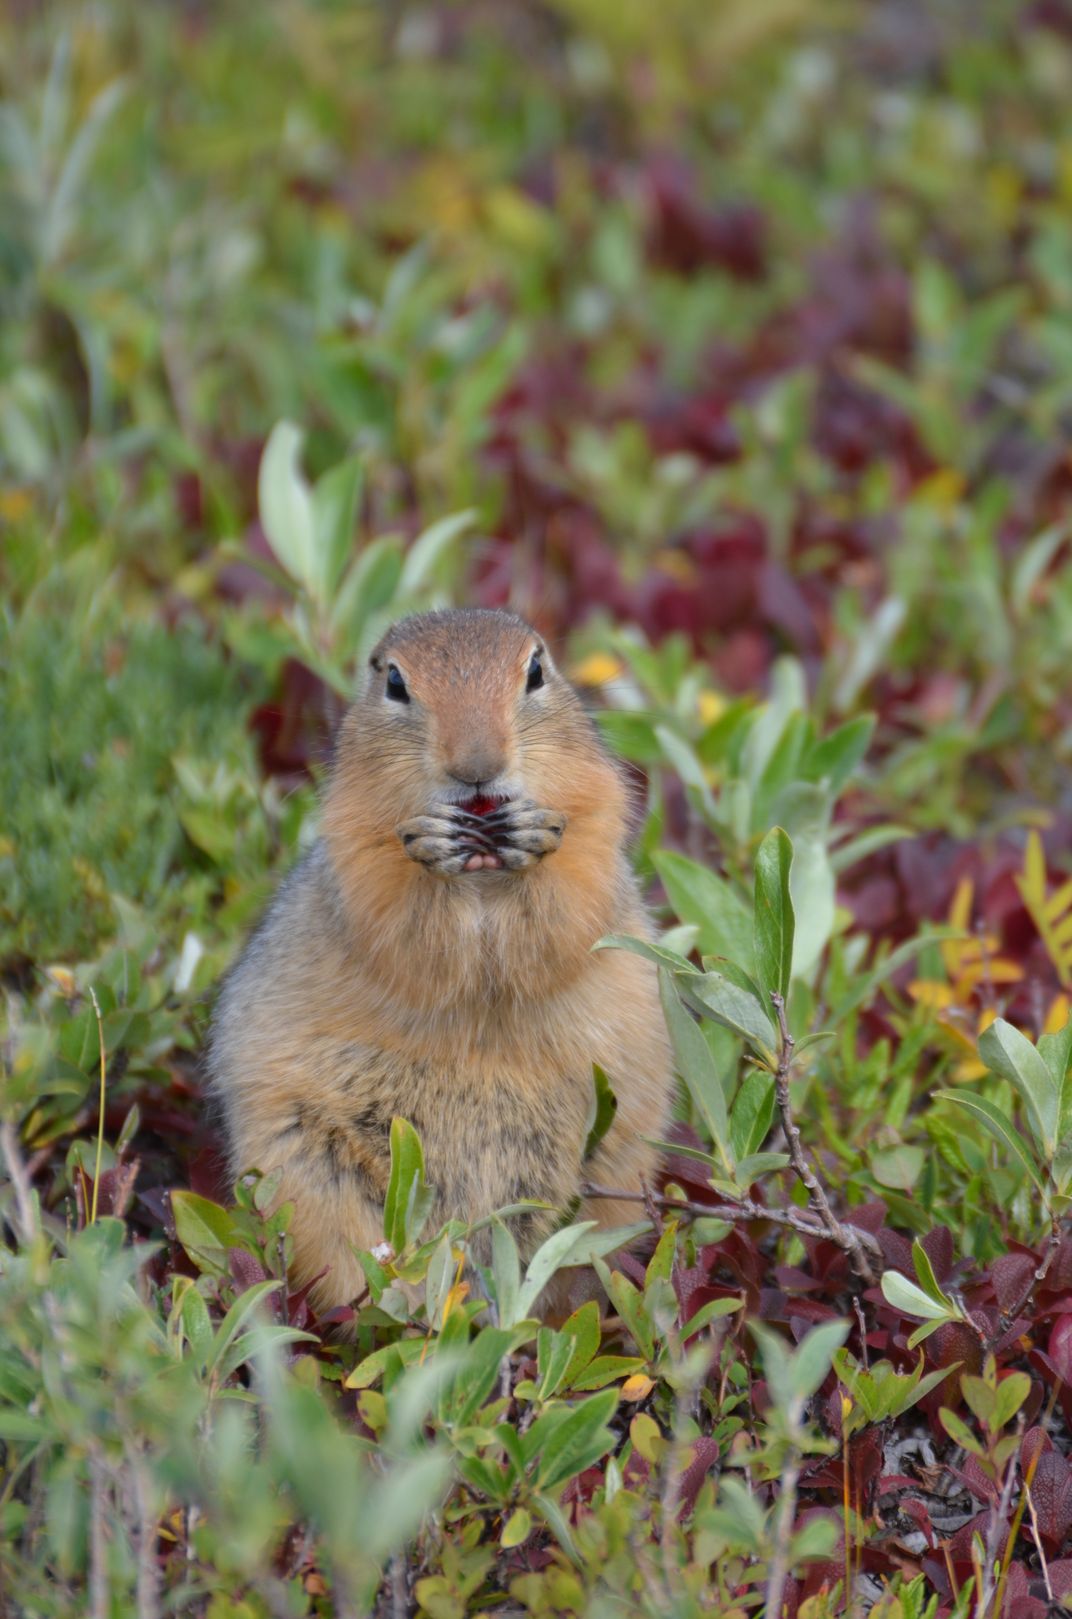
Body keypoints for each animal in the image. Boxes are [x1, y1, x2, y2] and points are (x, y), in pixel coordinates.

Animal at [208, 608, 673, 1314]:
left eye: (536, 671)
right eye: (395, 683)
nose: (477, 765)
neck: (482, 876)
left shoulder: (598, 816)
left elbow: (569, 894)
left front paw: (534, 838)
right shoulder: (355, 844)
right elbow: (402, 912)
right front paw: (429, 847)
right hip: (307, 1167)